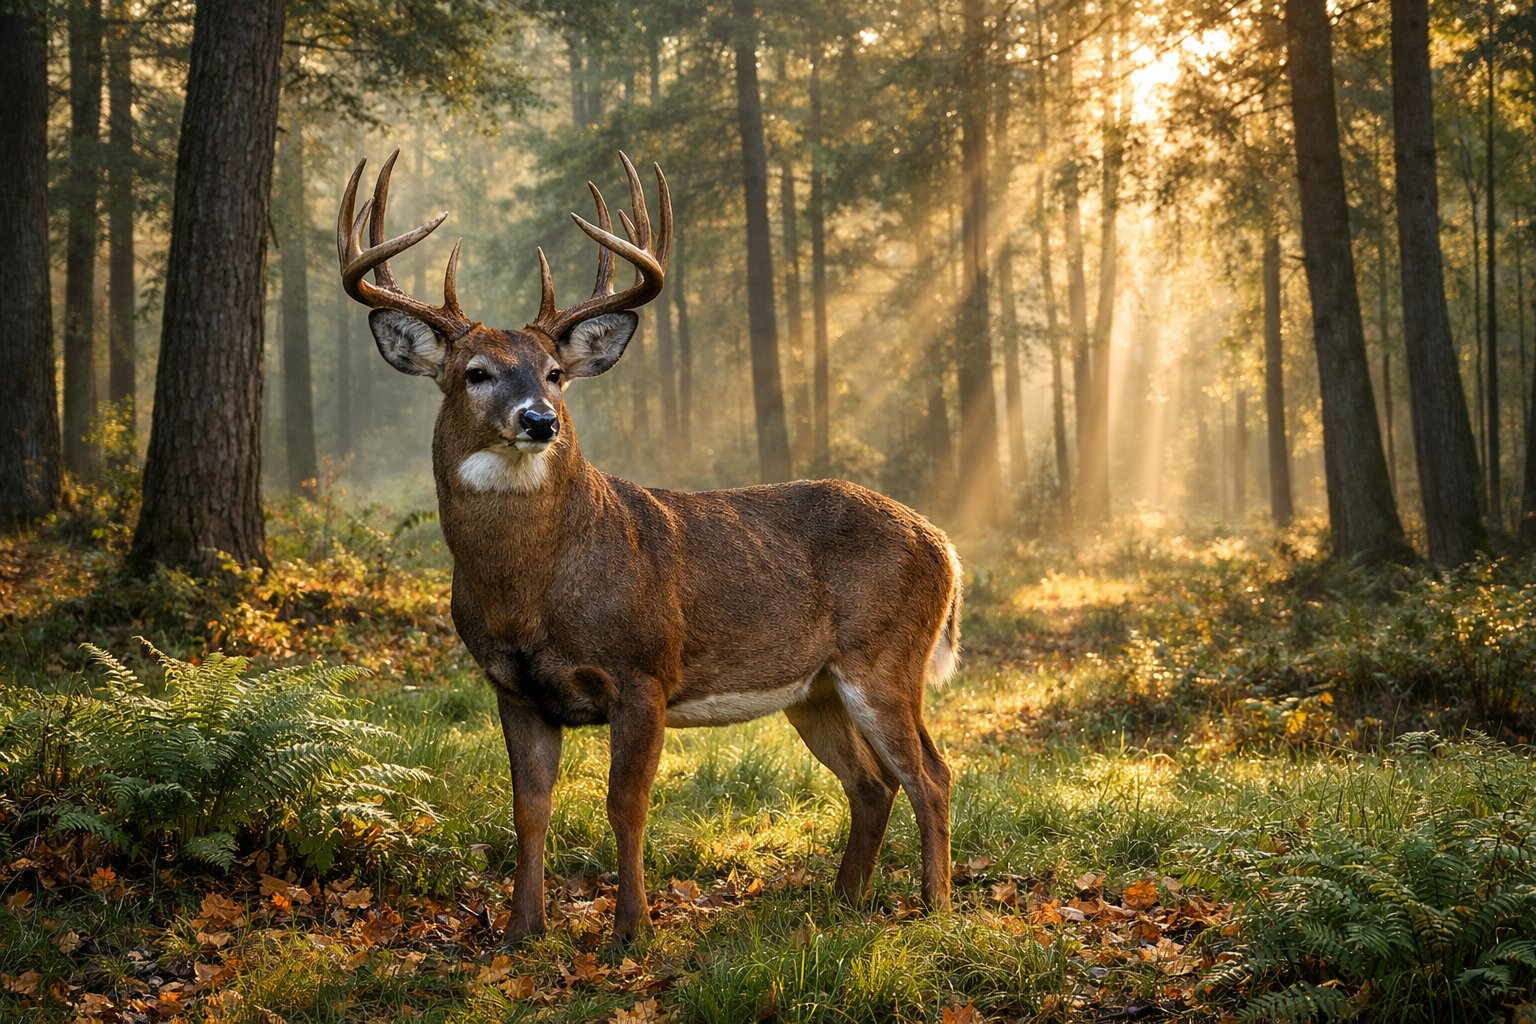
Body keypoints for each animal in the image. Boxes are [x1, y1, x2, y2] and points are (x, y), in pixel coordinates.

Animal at [335, 150, 962, 946]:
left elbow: (624, 805)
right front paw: (520, 931)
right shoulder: (512, 686)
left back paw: (935, 909)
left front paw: (631, 931)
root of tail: (942, 541)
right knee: (873, 782)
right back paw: (843, 901)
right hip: (813, 687)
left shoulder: (643, 672)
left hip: (884, 657)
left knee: (930, 774)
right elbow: (528, 809)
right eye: (475, 373)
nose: (539, 420)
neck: (530, 592)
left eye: (555, 374)